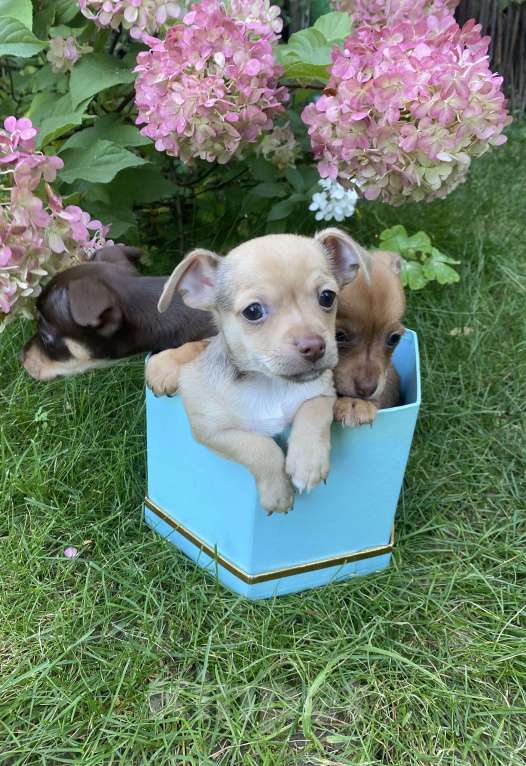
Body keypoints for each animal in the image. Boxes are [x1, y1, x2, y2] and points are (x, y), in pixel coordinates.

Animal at [146, 228, 370, 516]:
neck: (270, 384)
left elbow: (314, 412)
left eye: (327, 297)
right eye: (253, 311)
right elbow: (260, 447)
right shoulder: (211, 431)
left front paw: (307, 464)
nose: (314, 346)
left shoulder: (324, 394)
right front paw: (278, 492)